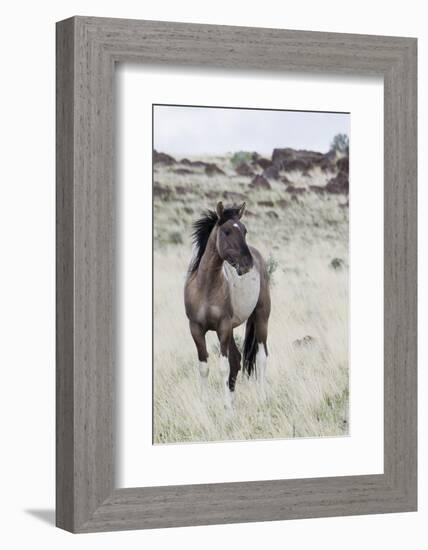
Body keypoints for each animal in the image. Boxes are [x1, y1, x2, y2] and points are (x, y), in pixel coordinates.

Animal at [184, 201, 270, 408]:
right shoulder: (196, 328)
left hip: (261, 317)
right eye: (227, 232)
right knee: (237, 359)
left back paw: (262, 398)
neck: (206, 287)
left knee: (261, 357)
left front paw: (226, 407)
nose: (247, 264)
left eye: (245, 231)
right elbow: (204, 366)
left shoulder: (222, 327)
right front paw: (204, 404)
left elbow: (224, 367)